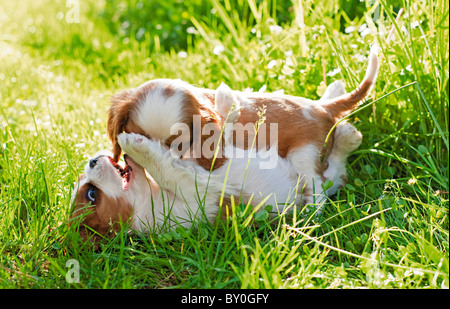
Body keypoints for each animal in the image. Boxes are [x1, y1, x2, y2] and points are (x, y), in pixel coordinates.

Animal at [107, 47, 378, 207]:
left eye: (177, 144)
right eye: (137, 133)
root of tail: (321, 109)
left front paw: (227, 103)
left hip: (303, 154)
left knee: (319, 186)